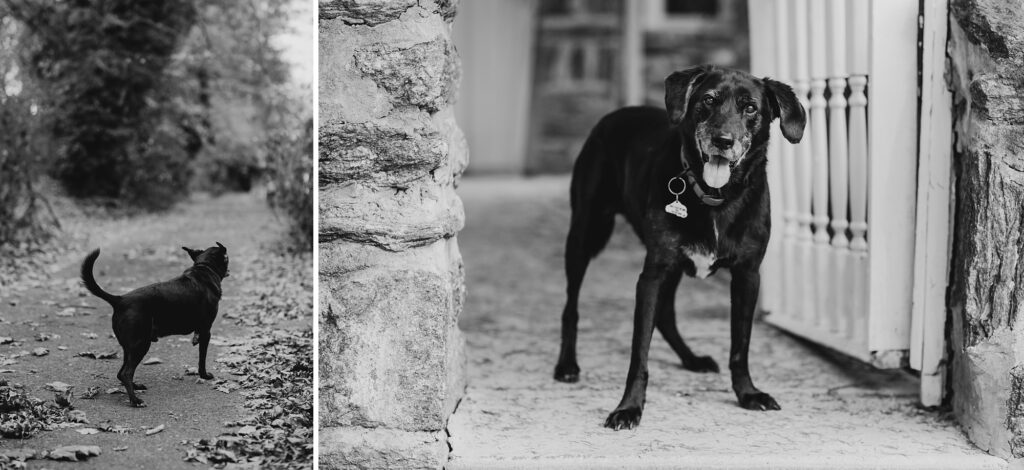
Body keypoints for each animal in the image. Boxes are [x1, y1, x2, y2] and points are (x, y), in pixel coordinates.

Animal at [80, 244, 232, 407]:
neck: (204, 268)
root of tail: (120, 300)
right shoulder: (206, 331)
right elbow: (202, 359)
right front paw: (204, 375)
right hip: (141, 345)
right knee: (126, 373)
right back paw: (135, 400)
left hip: (130, 348)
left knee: (121, 373)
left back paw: (136, 387)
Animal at [557, 65, 802, 430]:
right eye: (708, 100)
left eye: (750, 108)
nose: (723, 142)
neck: (716, 198)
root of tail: (614, 114)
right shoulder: (653, 275)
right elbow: (639, 353)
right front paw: (629, 407)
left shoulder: (747, 276)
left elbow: (740, 346)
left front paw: (748, 393)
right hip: (584, 235)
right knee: (570, 306)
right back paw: (567, 365)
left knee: (667, 316)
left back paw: (692, 359)